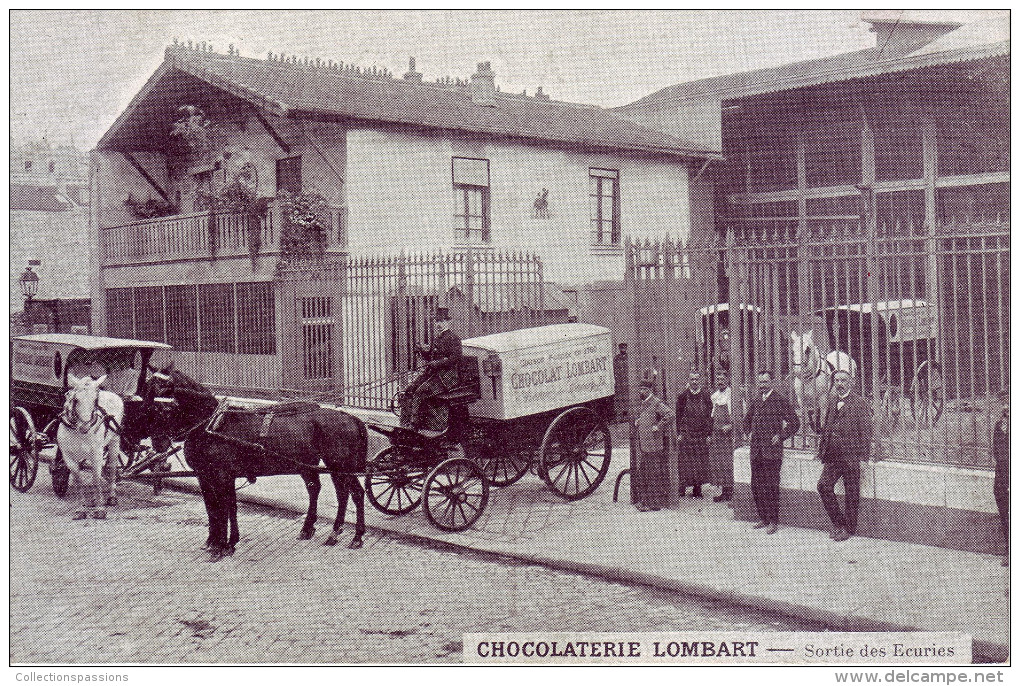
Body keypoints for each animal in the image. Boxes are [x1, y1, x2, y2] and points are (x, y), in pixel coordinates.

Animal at [56, 375, 124, 519]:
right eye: (75, 399)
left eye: (95, 400)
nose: (85, 427)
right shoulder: (68, 457)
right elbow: (78, 481)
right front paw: (81, 509)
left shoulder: (96, 454)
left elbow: (96, 479)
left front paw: (100, 509)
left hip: (114, 441)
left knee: (112, 468)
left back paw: (111, 497)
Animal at [143, 366, 367, 558]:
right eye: (146, 399)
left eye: (164, 407)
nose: (158, 443)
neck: (210, 425)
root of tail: (352, 418)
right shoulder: (204, 476)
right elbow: (212, 508)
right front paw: (214, 541)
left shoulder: (223, 476)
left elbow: (226, 507)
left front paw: (225, 545)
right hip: (316, 464)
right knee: (329, 491)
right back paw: (321, 530)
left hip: (340, 464)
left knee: (354, 493)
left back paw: (355, 536)